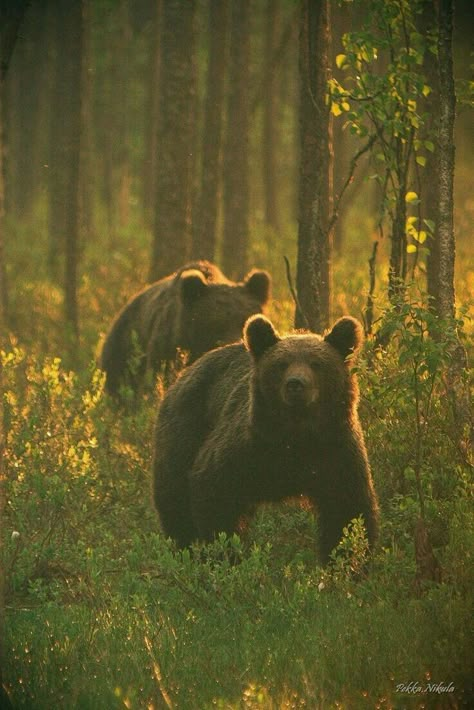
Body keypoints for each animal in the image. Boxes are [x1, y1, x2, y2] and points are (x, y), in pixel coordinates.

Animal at [154, 314, 380, 564]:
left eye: (316, 364)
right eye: (281, 364)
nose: (295, 384)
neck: (296, 436)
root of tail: (181, 374)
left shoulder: (334, 451)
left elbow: (347, 510)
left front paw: (347, 562)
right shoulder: (247, 449)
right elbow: (214, 491)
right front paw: (225, 555)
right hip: (186, 428)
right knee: (174, 497)